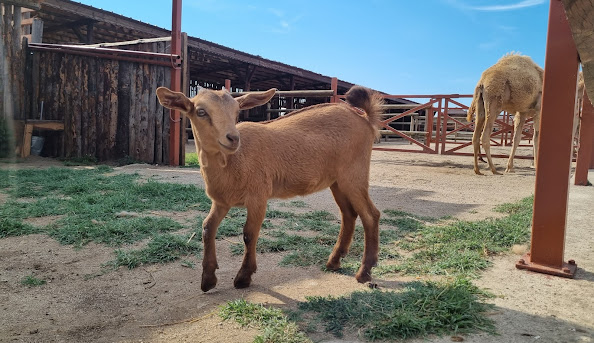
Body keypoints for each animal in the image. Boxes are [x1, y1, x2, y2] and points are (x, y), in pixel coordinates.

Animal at [155, 84, 382, 292]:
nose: (233, 138)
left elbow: (249, 234)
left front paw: (243, 277)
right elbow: (207, 228)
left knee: (370, 215)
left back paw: (364, 272)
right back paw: (334, 261)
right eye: (201, 111)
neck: (234, 161)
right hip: (337, 181)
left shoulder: (258, 196)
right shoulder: (221, 201)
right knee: (349, 214)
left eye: (237, 112)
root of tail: (365, 120)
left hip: (354, 175)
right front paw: (208, 279)